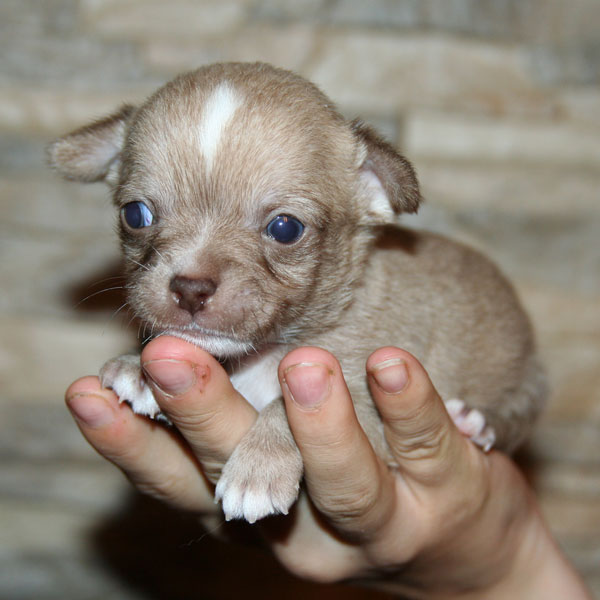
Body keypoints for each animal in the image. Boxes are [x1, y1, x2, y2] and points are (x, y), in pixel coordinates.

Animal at [49, 62, 547, 523]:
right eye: (135, 215)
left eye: (285, 228)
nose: (190, 287)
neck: (265, 354)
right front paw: (137, 367)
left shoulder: (367, 414)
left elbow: (282, 407)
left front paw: (258, 469)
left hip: (521, 385)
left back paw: (474, 421)